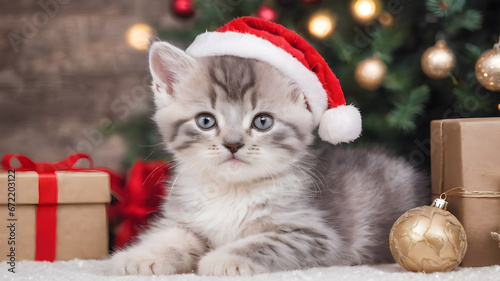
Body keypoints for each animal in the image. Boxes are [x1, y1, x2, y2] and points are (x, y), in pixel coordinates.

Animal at [111, 41, 428, 276]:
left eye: (262, 121)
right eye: (205, 121)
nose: (233, 144)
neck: (232, 191)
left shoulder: (317, 235)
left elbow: (262, 242)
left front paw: (222, 259)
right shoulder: (185, 219)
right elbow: (170, 236)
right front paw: (142, 256)